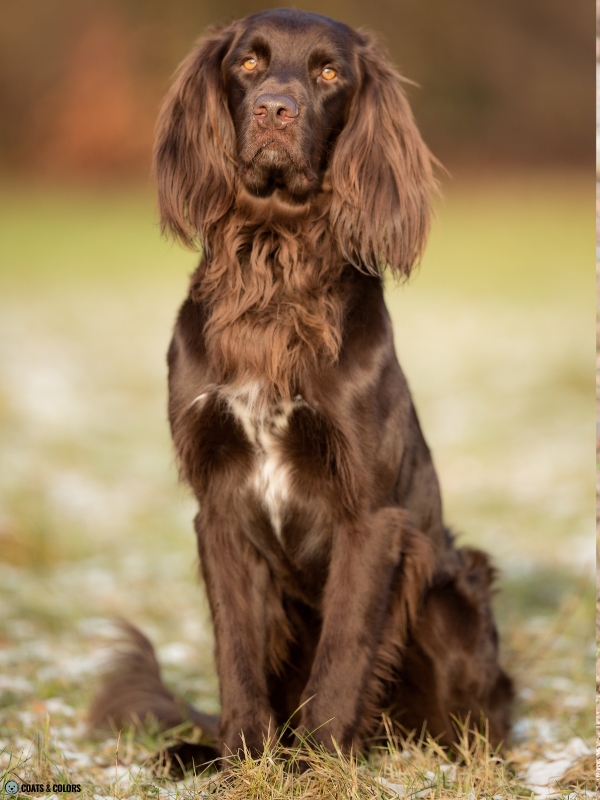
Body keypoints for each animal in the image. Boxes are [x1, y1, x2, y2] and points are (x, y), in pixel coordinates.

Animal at [89, 7, 510, 768]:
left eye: (329, 72)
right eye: (249, 64)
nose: (274, 111)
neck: (273, 266)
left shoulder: (371, 516)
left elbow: (344, 651)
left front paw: (321, 765)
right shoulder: (219, 505)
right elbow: (235, 650)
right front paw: (243, 762)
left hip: (452, 591)